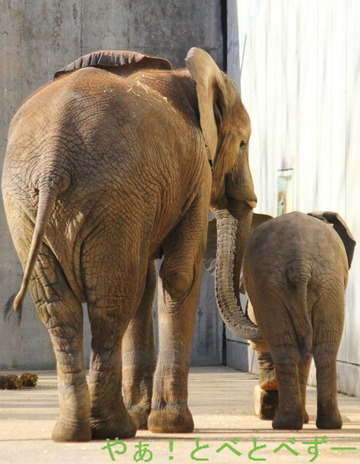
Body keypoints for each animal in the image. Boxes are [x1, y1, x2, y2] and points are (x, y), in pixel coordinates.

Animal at [1, 48, 258, 442]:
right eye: (244, 143)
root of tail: (53, 162)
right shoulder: (196, 174)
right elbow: (179, 275)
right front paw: (171, 425)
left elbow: (148, 281)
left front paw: (146, 419)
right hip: (113, 194)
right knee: (112, 300)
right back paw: (113, 428)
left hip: (31, 204)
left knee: (61, 305)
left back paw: (75, 432)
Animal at [243, 212, 356, 430]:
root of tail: (300, 265)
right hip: (299, 285)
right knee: (316, 351)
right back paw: (312, 424)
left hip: (315, 283)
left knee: (295, 350)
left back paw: (292, 423)